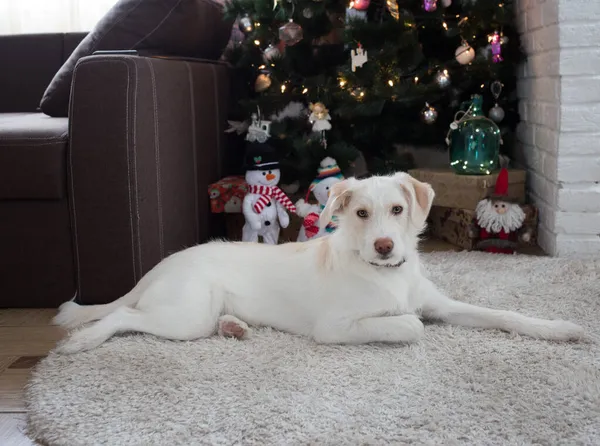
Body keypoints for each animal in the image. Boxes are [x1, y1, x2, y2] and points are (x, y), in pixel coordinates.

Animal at [54, 172, 584, 354]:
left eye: (397, 210)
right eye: (361, 214)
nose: (385, 247)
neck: (385, 276)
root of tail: (160, 266)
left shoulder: (444, 304)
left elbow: (504, 315)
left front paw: (560, 329)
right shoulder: (335, 328)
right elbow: (410, 325)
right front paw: (402, 322)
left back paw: (234, 327)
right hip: (185, 316)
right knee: (124, 315)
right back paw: (84, 341)